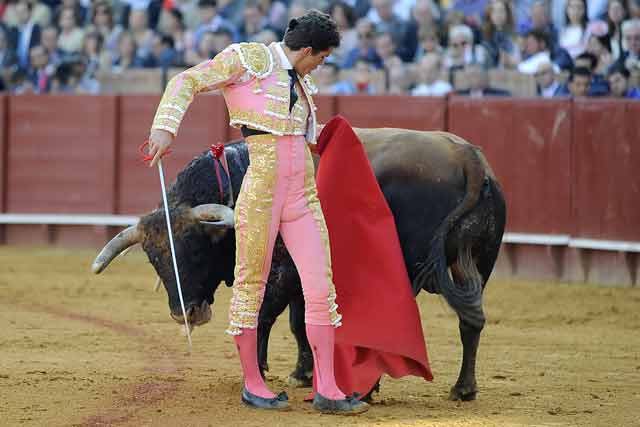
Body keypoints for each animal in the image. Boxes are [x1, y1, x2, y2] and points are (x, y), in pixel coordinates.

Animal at [94, 129, 504, 402]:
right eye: (155, 261)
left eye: (195, 251)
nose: (186, 314)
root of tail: (468, 158)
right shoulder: (301, 274)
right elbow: (299, 322)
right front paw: (302, 373)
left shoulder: (280, 270)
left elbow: (264, 316)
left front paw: (257, 374)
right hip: (477, 264)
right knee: (471, 321)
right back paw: (463, 389)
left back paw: (368, 389)